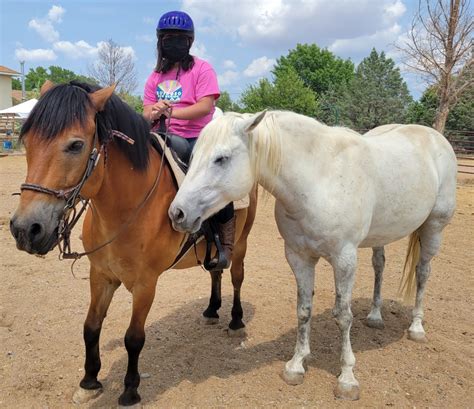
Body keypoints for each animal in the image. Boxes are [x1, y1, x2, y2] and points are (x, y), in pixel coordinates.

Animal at [9, 79, 258, 404]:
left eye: (76, 145)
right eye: (27, 141)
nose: (25, 229)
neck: (126, 209)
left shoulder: (145, 284)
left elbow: (134, 337)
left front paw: (130, 389)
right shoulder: (101, 275)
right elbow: (91, 327)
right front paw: (89, 381)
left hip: (241, 243)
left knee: (237, 276)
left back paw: (235, 321)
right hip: (212, 250)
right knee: (215, 270)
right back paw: (211, 310)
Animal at [168, 111, 458, 398]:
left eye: (221, 158)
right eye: (192, 157)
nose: (177, 213)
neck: (320, 178)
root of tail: (434, 137)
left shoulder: (344, 259)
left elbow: (343, 315)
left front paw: (347, 378)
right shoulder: (299, 257)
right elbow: (304, 310)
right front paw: (296, 365)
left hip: (433, 227)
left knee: (423, 273)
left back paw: (417, 327)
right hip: (381, 236)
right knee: (380, 265)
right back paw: (375, 316)